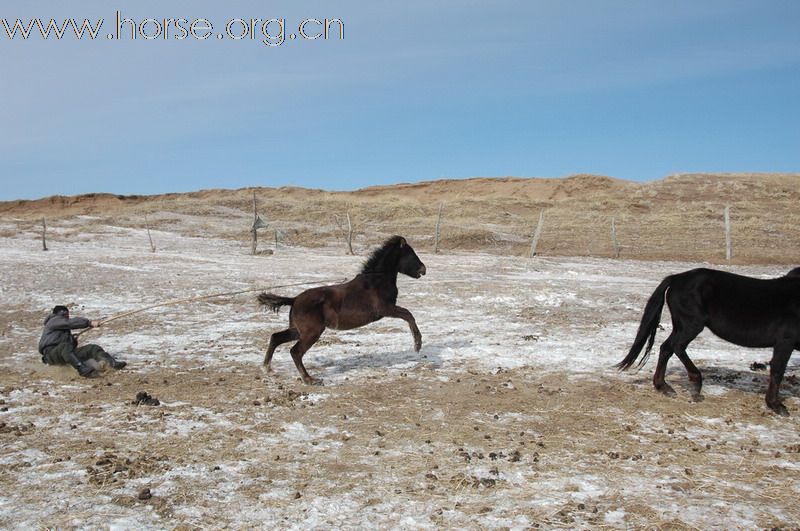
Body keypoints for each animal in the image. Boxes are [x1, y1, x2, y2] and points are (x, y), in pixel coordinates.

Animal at [260, 237, 428, 386]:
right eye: (411, 254)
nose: (423, 269)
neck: (377, 280)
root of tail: (294, 299)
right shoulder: (385, 308)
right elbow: (408, 314)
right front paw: (417, 344)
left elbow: (408, 315)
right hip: (311, 332)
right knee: (295, 351)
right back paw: (309, 380)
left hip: (297, 330)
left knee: (276, 337)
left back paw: (267, 368)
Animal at [620, 266, 800, 416]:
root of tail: (676, 278)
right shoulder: (785, 342)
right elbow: (777, 371)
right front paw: (776, 405)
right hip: (691, 325)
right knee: (677, 346)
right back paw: (695, 383)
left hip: (681, 326)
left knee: (666, 348)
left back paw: (663, 386)